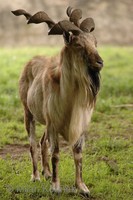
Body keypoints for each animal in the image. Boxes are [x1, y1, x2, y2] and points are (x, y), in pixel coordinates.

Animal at [11, 7, 103, 196]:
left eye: (95, 42)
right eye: (78, 44)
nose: (100, 62)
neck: (69, 97)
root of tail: (31, 61)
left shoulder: (78, 126)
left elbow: (78, 154)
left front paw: (82, 187)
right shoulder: (53, 124)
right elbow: (56, 153)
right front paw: (55, 187)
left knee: (42, 142)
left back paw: (46, 173)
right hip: (28, 113)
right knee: (33, 144)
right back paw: (37, 176)